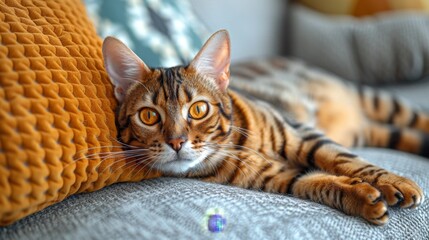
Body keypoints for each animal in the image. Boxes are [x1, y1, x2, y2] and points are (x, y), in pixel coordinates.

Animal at [101, 29, 424, 225]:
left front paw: (394, 182)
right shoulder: (273, 176)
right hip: (369, 130)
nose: (177, 142)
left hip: (377, 100)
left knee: (416, 118)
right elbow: (315, 182)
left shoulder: (301, 133)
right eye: (149, 116)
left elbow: (344, 159)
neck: (234, 145)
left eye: (198, 109)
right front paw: (363, 198)